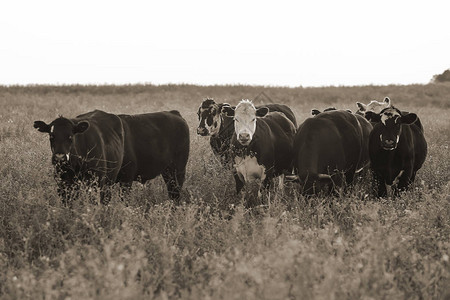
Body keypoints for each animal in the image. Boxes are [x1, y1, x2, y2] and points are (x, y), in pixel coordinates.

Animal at [34, 109, 189, 205]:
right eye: (51, 136)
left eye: (70, 137)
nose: (60, 158)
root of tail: (173, 113)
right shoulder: (63, 184)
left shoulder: (99, 182)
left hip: (177, 170)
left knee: (175, 194)